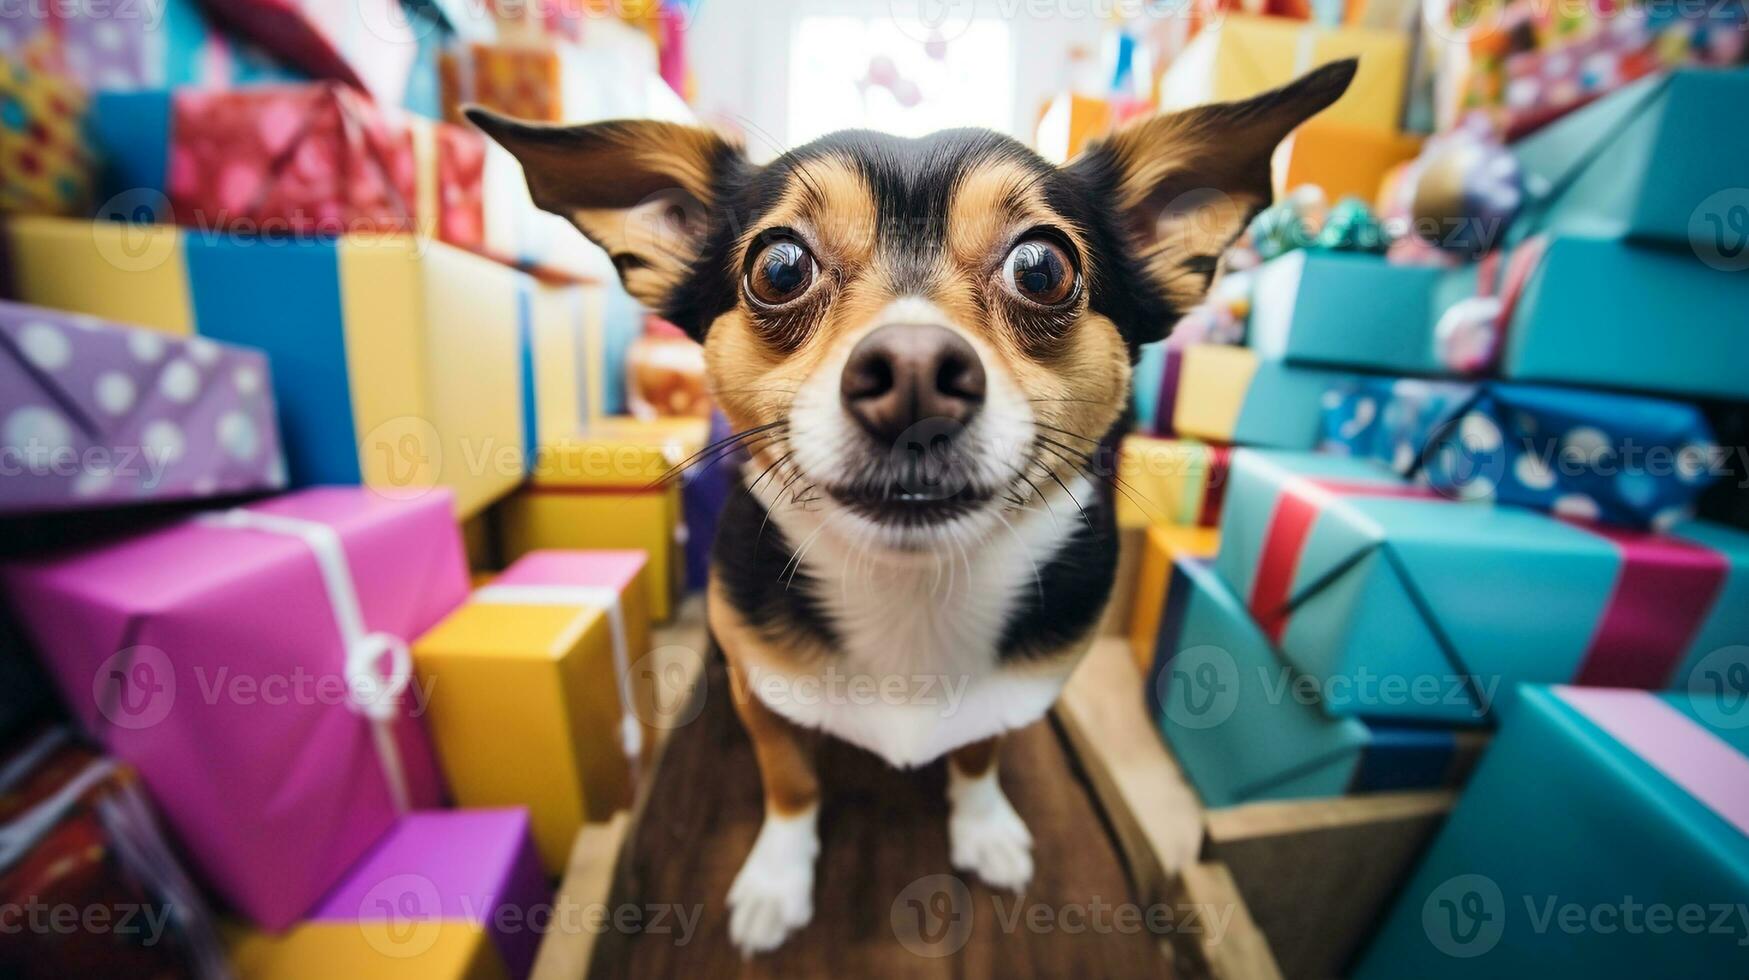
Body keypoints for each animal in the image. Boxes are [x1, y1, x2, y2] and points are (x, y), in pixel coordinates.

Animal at [472, 57, 1357, 952]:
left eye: (1041, 268)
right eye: (779, 267)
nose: (912, 372)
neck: (914, 592)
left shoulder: (1010, 698)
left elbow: (978, 753)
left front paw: (983, 826)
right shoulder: (764, 698)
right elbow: (790, 782)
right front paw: (777, 880)